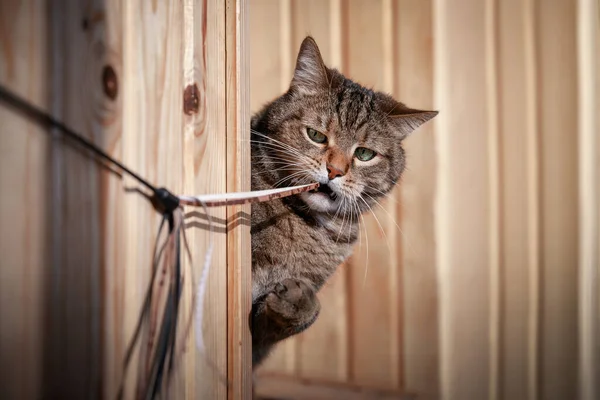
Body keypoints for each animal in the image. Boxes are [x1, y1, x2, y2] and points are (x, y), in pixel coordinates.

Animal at [248, 36, 436, 368]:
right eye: (316, 135)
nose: (334, 170)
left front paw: (297, 300)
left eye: (364, 154)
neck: (306, 224)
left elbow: (308, 311)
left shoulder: (258, 340)